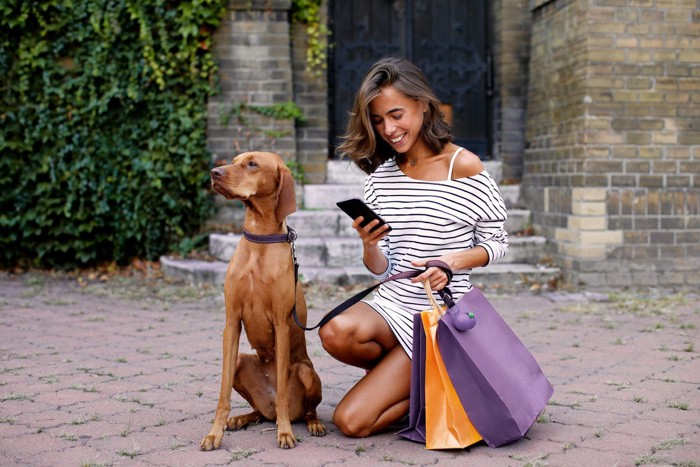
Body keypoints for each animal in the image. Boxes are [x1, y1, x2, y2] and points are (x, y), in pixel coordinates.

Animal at [200, 152, 326, 452]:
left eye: (252, 164)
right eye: (235, 160)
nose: (214, 173)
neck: (259, 240)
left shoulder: (281, 324)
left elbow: (282, 394)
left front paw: (285, 433)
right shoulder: (231, 322)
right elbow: (222, 394)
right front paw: (214, 434)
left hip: (305, 371)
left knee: (304, 408)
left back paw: (310, 423)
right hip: (240, 364)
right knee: (260, 411)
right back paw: (243, 418)